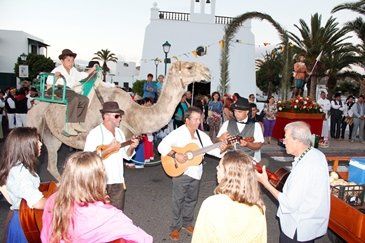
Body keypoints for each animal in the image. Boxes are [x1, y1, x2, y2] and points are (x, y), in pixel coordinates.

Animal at [27, 60, 209, 178]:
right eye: (189, 66)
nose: (208, 72)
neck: (133, 113)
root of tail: (36, 103)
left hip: (53, 136)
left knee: (52, 164)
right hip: (35, 126)